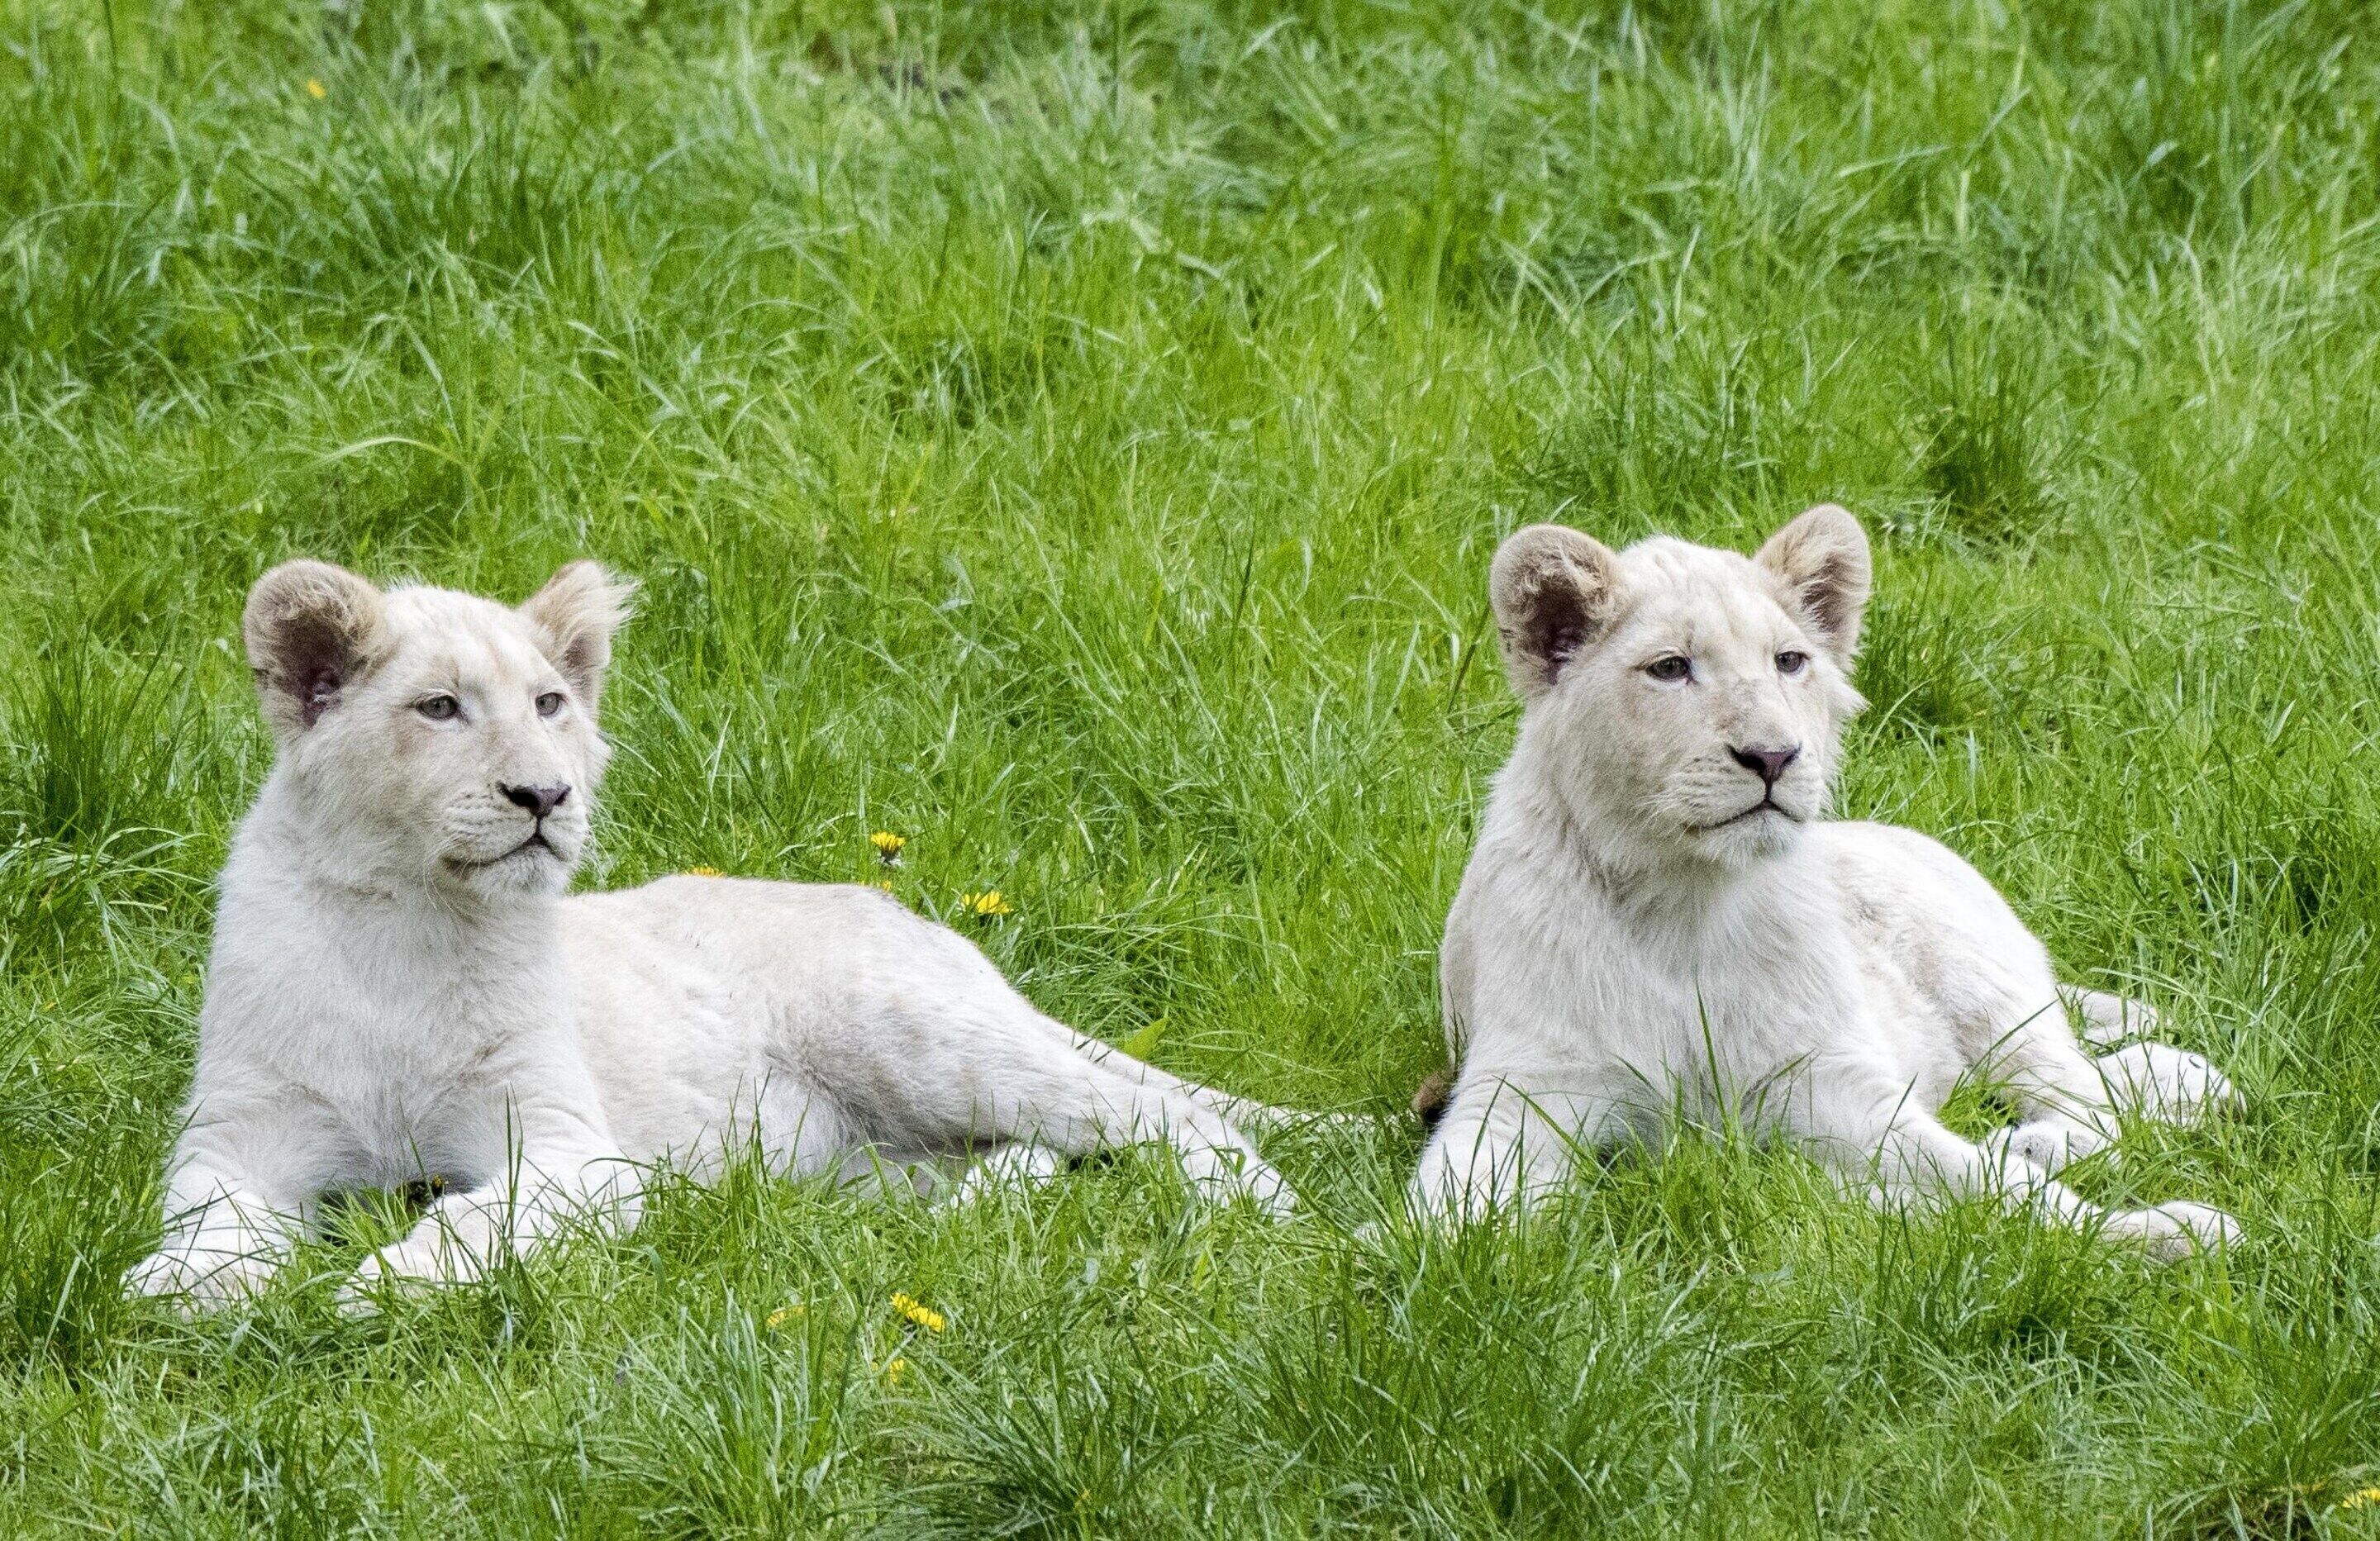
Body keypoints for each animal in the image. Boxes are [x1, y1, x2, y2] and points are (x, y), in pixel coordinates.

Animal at [129, 560, 1297, 1306]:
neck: (407, 923)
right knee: (1023, 1156)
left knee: (1163, 1113)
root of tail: (907, 913)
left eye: (550, 703)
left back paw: (1270, 1217)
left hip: (917, 1036)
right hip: (867, 1156)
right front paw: (184, 1285)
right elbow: (206, 1219)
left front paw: (388, 1281)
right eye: (440, 708)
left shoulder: (575, 1148)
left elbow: (478, 1217)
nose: (545, 794)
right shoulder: (240, 1130)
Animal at [1410, 505, 2242, 1257]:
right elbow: (1448, 1209)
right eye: (1671, 668)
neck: (1684, 900)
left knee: (2098, 1099)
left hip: (1990, 989)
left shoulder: (1831, 1083)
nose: (1774, 756)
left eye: (1789, 661)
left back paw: (2037, 1141)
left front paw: (2171, 1232)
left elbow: (1990, 1187)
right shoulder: (1529, 1090)